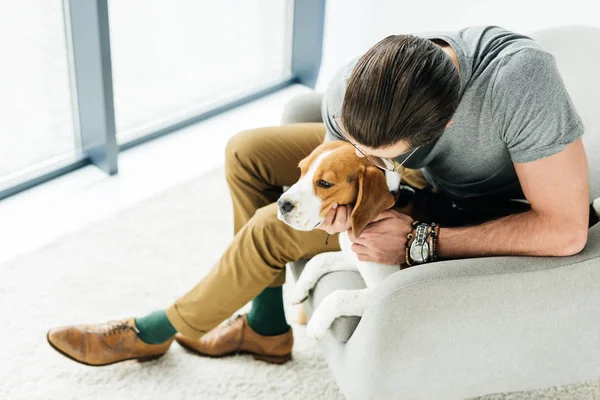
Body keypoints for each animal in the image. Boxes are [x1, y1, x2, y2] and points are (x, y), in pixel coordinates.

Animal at [278, 139, 600, 340]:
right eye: (301, 170)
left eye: (325, 183)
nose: (282, 204)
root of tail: (591, 213)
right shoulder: (358, 255)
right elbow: (320, 260)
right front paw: (298, 292)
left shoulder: (381, 285)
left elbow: (338, 295)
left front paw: (316, 324)